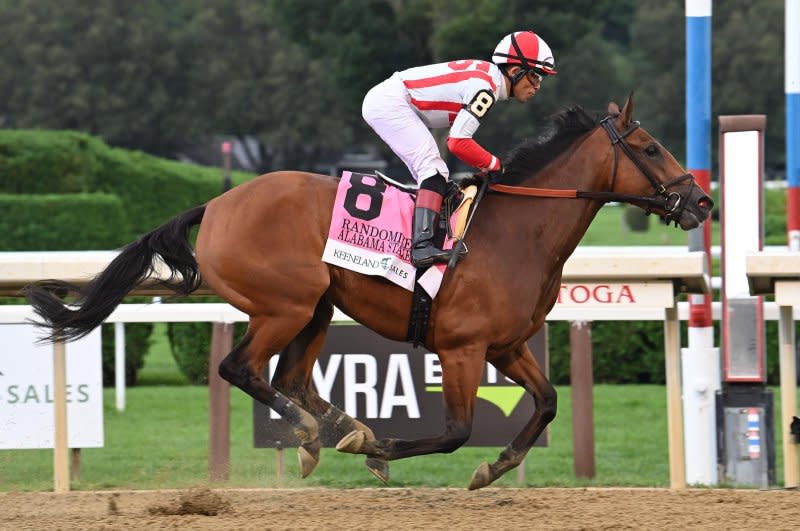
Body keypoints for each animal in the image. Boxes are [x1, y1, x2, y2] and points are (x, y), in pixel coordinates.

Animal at [23, 96, 712, 490]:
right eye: (650, 147)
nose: (701, 201)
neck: (514, 233)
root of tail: (215, 203)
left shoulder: (506, 346)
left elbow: (546, 404)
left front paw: (492, 469)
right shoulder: (462, 348)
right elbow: (456, 429)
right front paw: (384, 448)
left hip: (318, 306)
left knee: (291, 378)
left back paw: (330, 431)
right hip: (285, 304)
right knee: (241, 368)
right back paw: (320, 433)